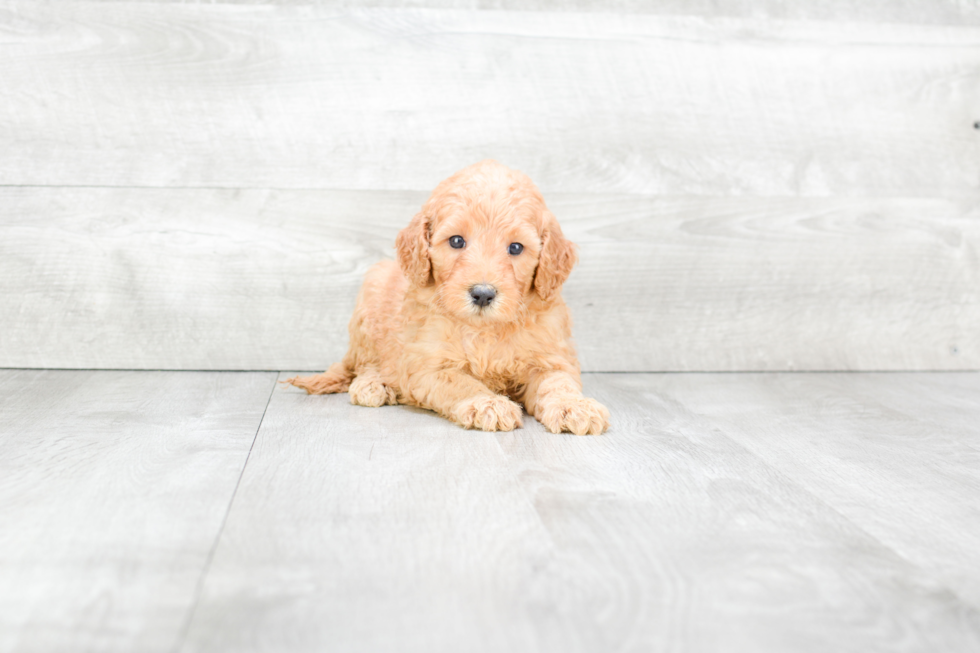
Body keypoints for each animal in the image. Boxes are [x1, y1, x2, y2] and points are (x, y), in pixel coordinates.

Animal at [288, 159, 608, 436]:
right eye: (456, 241)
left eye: (516, 248)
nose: (482, 294)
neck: (484, 330)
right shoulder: (428, 365)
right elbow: (460, 382)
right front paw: (487, 403)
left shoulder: (551, 356)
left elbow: (557, 383)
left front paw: (574, 407)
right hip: (370, 297)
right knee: (367, 362)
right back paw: (373, 384)